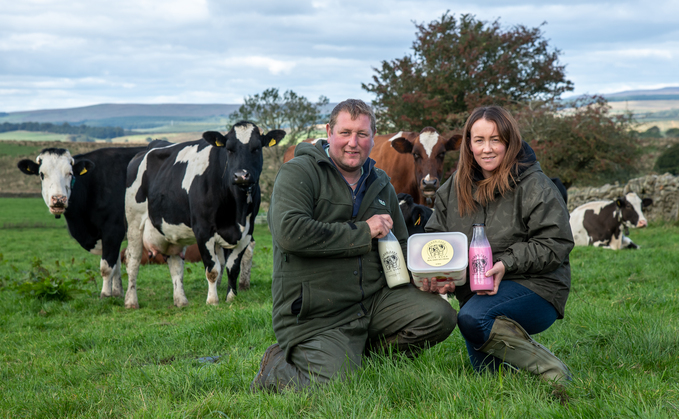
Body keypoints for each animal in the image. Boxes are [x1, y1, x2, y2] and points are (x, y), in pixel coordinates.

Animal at [17, 147, 146, 298]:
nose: (58, 199)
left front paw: (105, 295)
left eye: (70, 173)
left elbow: (107, 267)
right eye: (42, 174)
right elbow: (116, 265)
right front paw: (117, 292)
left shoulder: (113, 230)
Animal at [123, 121, 284, 308]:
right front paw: (213, 300)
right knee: (133, 260)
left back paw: (181, 300)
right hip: (134, 222)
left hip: (171, 232)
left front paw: (231, 298)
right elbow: (213, 269)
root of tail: (149, 147)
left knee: (175, 264)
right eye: (229, 149)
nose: (241, 176)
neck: (236, 207)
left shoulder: (246, 232)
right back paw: (131, 301)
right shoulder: (203, 230)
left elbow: (233, 268)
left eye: (257, 148)